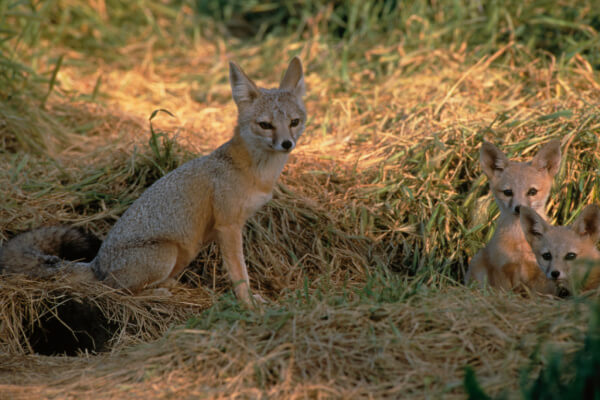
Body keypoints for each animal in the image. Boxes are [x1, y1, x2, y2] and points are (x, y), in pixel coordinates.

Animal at [0, 56, 308, 306]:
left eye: (294, 122)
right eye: (265, 125)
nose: (286, 144)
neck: (256, 172)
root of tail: (98, 265)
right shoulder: (229, 226)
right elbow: (239, 273)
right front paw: (248, 304)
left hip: (184, 252)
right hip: (167, 253)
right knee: (118, 291)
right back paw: (157, 293)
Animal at [464, 141, 564, 294]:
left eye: (532, 191)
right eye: (508, 192)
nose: (519, 208)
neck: (520, 244)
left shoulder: (541, 275)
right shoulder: (502, 270)